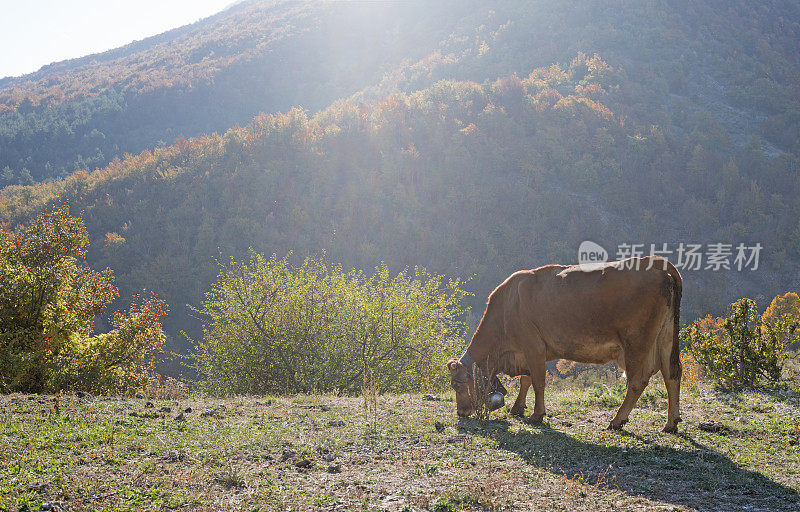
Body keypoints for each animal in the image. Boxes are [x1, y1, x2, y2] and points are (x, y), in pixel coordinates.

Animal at [446, 256, 684, 432]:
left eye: (456, 385)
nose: (461, 413)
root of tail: (652, 263)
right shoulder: (526, 352)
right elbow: (526, 380)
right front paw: (517, 408)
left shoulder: (533, 346)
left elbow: (538, 382)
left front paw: (537, 415)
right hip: (665, 339)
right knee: (672, 374)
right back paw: (671, 423)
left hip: (635, 343)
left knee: (637, 381)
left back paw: (617, 420)